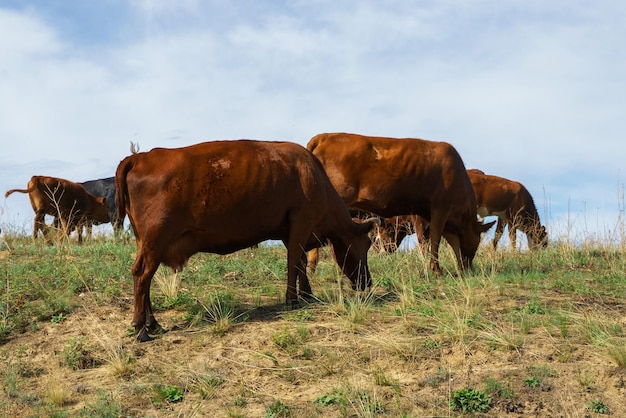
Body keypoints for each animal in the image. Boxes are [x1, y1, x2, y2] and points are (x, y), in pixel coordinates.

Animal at [115, 140, 378, 342]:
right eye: (366, 244)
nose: (367, 282)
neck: (315, 178)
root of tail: (140, 157)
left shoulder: (291, 232)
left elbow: (301, 262)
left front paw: (307, 295)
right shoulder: (301, 222)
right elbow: (294, 261)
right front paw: (293, 299)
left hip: (146, 242)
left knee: (145, 279)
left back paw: (153, 324)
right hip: (155, 239)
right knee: (142, 275)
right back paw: (141, 329)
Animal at [306, 131, 492, 274]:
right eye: (477, 241)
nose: (468, 268)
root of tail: (325, 136)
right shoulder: (439, 209)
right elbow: (434, 240)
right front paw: (436, 270)